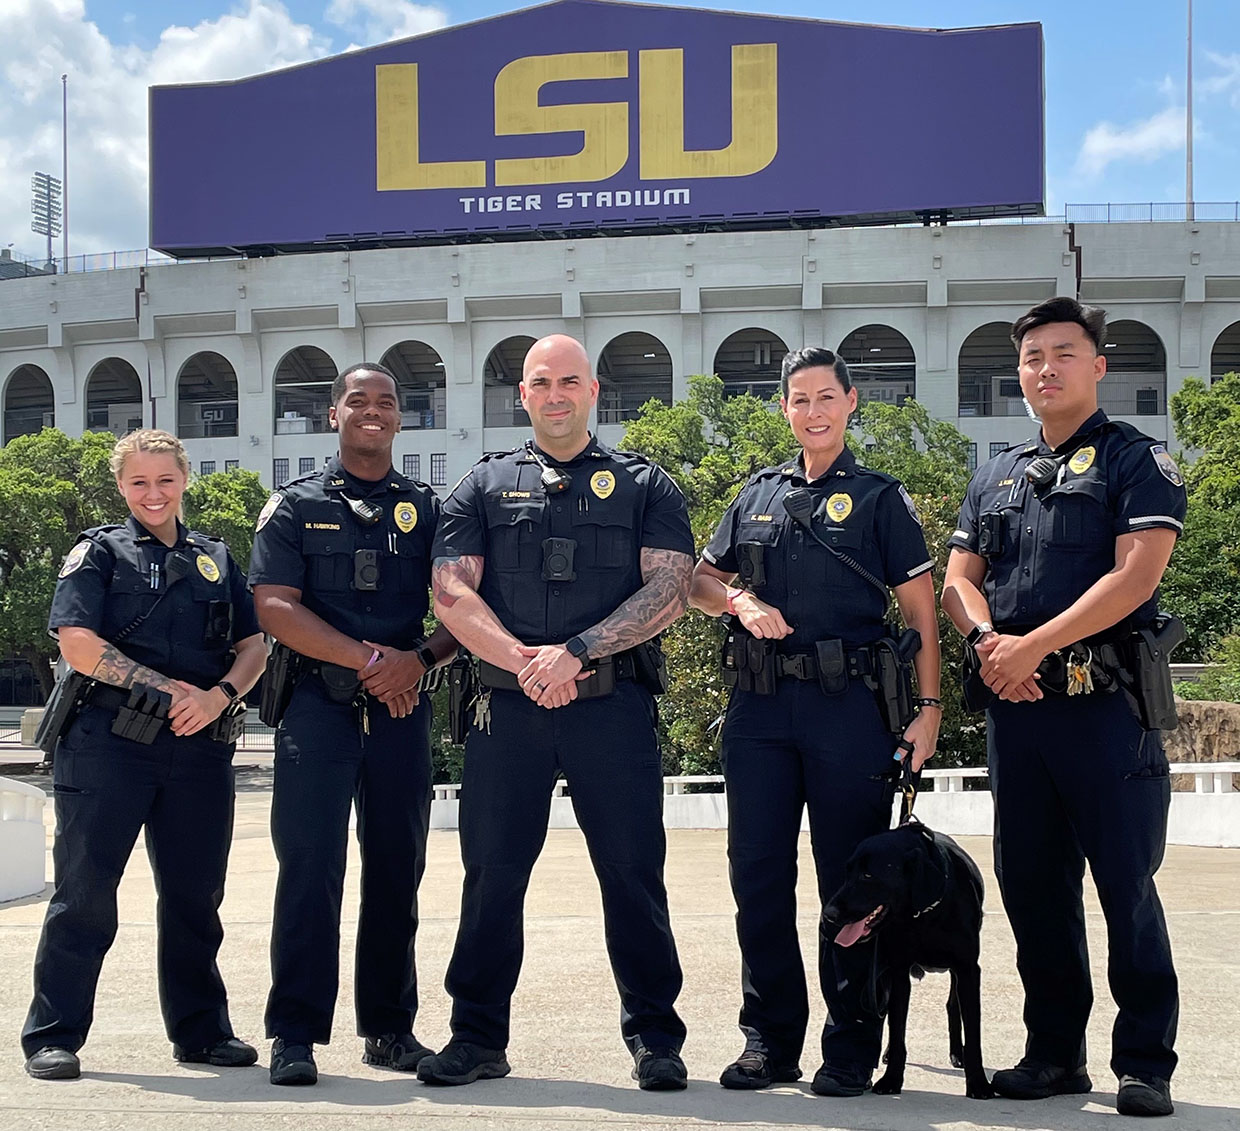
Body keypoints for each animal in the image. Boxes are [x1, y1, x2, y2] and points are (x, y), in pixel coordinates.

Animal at [823, 818, 996, 1101]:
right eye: (848, 871)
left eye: (868, 874)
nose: (829, 914)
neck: (924, 913)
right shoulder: (899, 971)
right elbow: (897, 1030)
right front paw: (892, 1078)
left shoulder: (968, 969)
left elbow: (973, 1035)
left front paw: (979, 1083)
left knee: (953, 1005)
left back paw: (956, 1053)